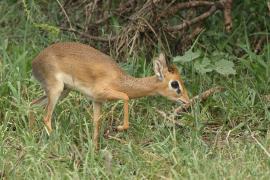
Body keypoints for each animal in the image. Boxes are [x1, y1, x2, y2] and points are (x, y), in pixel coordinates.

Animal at [30, 41, 190, 148]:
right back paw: (57, 142)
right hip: (56, 90)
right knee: (46, 117)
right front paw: (118, 128)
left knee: (32, 105)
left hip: (63, 91)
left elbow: (96, 124)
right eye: (175, 84)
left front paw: (94, 151)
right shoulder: (103, 93)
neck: (120, 80)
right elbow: (126, 97)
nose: (187, 101)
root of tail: (35, 61)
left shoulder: (97, 101)